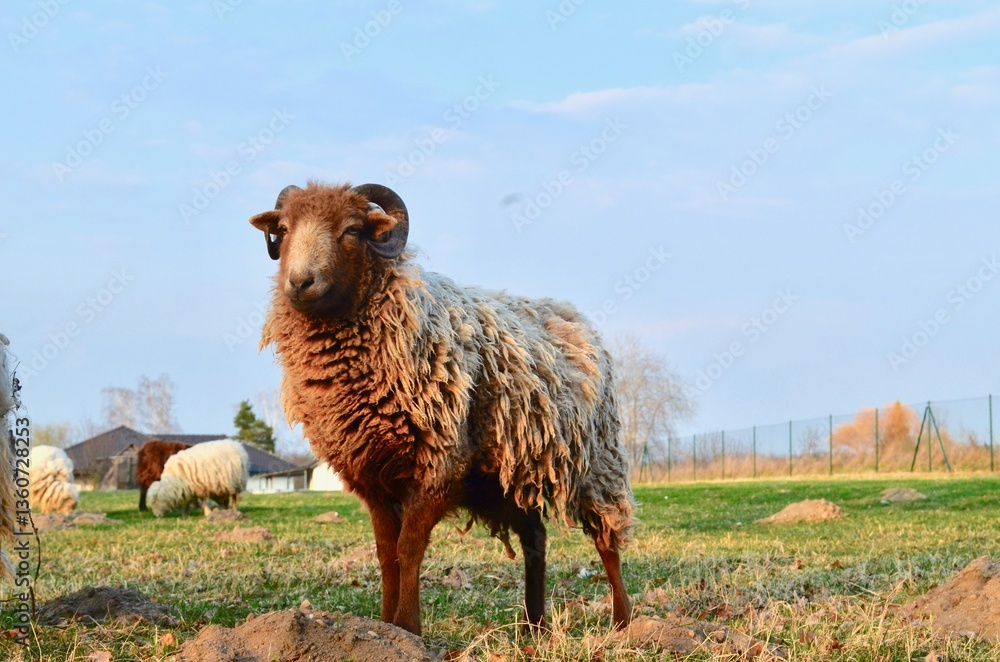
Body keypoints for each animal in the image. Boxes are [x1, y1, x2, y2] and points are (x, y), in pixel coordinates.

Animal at [249, 182, 634, 635]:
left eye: (352, 230)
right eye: (284, 229)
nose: (300, 282)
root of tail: (572, 315)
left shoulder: (440, 465)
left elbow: (409, 548)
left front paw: (408, 627)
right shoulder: (372, 478)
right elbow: (386, 553)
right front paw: (385, 626)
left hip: (597, 462)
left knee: (608, 542)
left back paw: (623, 622)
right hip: (508, 474)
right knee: (535, 539)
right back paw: (533, 625)